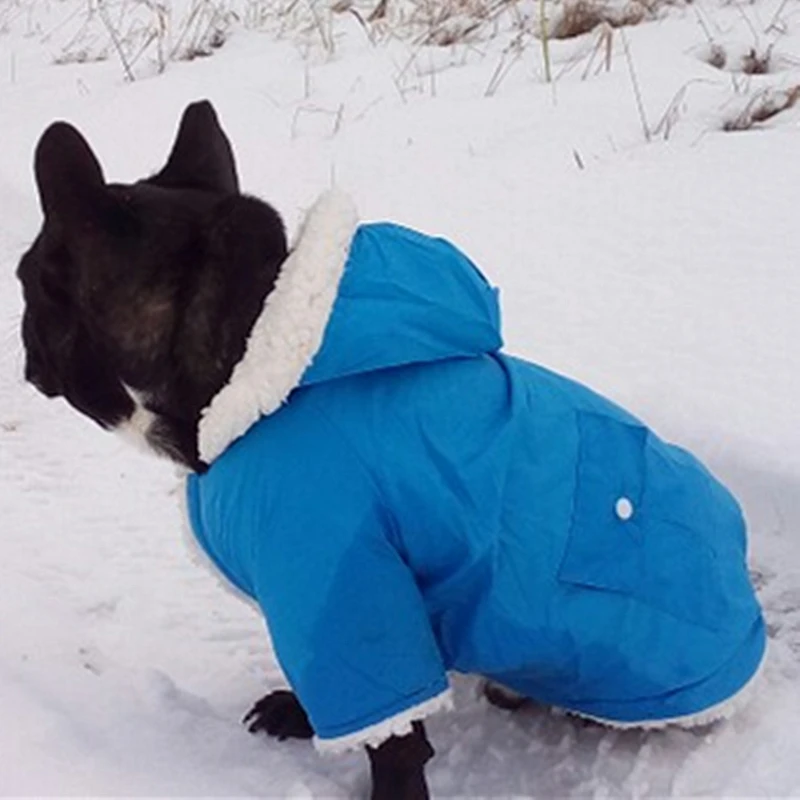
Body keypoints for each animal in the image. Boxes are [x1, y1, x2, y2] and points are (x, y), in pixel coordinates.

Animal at [17, 103, 764, 796]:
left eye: (26, 279)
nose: (21, 338)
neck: (255, 351)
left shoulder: (340, 578)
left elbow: (392, 736)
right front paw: (302, 713)